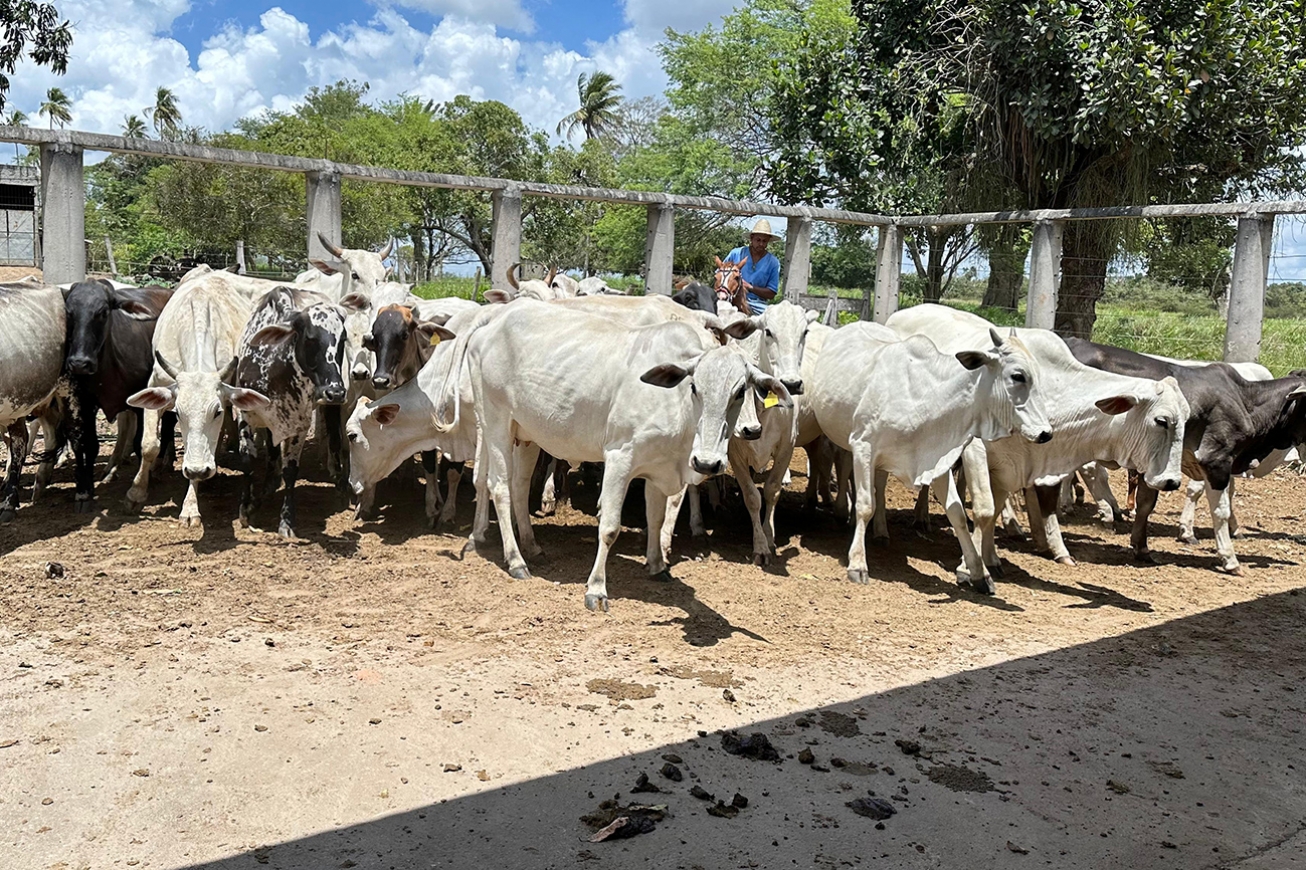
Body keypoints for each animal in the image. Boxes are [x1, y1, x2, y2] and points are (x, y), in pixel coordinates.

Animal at [62, 278, 173, 509]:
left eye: (103, 312)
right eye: (69, 312)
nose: (79, 363)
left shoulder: (142, 402)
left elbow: (141, 444)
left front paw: (141, 486)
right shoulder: (86, 402)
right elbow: (89, 445)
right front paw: (85, 491)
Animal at [433, 301, 778, 606]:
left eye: (741, 391)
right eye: (695, 387)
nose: (708, 461)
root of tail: (494, 318)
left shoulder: (658, 467)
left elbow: (655, 519)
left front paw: (658, 566)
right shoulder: (619, 459)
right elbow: (610, 527)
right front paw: (596, 589)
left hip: (525, 434)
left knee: (517, 487)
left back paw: (531, 546)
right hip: (495, 424)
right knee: (499, 487)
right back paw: (516, 560)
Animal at [809, 321, 1055, 585]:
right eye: (1018, 376)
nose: (1046, 433)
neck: (926, 398)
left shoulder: (937, 459)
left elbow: (957, 513)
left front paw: (978, 572)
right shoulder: (864, 447)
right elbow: (865, 505)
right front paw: (857, 563)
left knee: (880, 486)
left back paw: (881, 532)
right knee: (846, 469)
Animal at [888, 303, 1196, 582]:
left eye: (1187, 418)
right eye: (1161, 420)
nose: (1172, 481)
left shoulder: (1012, 465)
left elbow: (995, 510)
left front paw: (991, 557)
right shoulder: (976, 450)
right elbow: (986, 509)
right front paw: (970, 568)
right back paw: (922, 517)